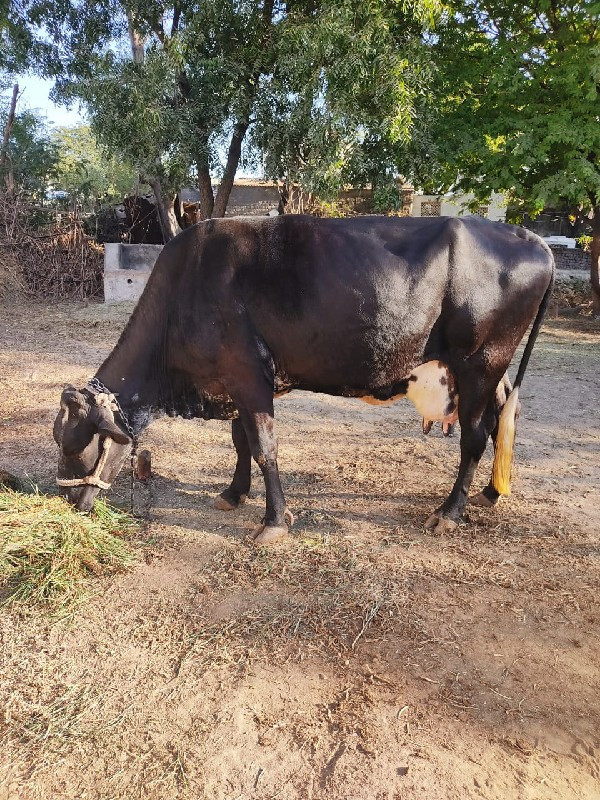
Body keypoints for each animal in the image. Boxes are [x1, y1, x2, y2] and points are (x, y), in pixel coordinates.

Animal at [55, 216, 552, 544]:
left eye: (80, 444)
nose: (69, 505)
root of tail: (529, 238)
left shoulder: (249, 375)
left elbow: (264, 448)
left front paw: (273, 522)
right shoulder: (234, 383)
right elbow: (240, 442)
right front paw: (233, 494)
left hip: (480, 361)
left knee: (473, 437)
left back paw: (448, 513)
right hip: (489, 372)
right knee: (498, 421)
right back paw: (489, 493)